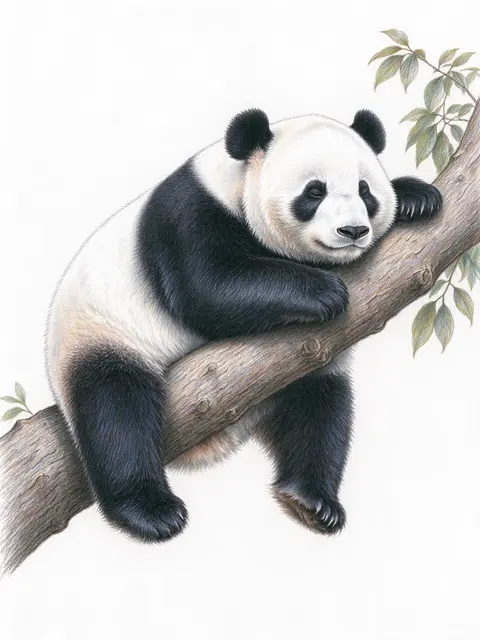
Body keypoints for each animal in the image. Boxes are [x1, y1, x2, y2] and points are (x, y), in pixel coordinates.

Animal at [46, 108, 442, 542]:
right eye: (314, 192)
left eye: (365, 191)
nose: (352, 231)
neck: (235, 184)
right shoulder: (189, 214)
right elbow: (206, 286)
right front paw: (322, 291)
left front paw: (417, 197)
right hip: (101, 335)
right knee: (117, 410)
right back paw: (150, 512)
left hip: (307, 371)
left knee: (321, 411)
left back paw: (311, 500)